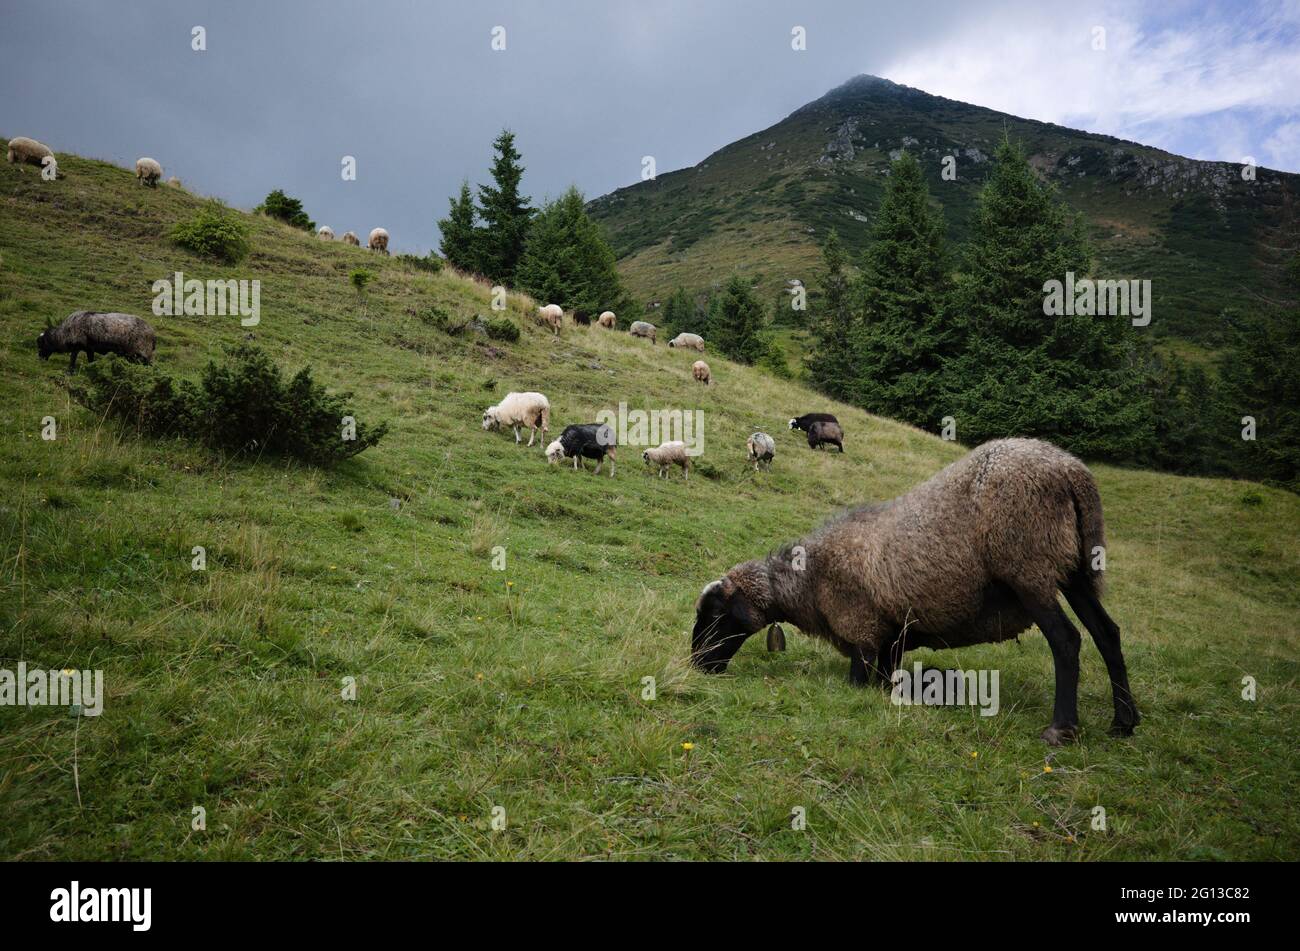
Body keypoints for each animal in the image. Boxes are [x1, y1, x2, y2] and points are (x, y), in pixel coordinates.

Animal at [690, 438, 1139, 745]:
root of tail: (1072, 473)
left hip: (1029, 566)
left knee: (1067, 639)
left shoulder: (862, 629)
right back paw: (1124, 722)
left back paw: (1061, 728)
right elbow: (886, 678)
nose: (697, 665)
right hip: (1073, 569)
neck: (808, 583)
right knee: (1107, 633)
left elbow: (859, 681)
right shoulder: (891, 635)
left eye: (715, 614)